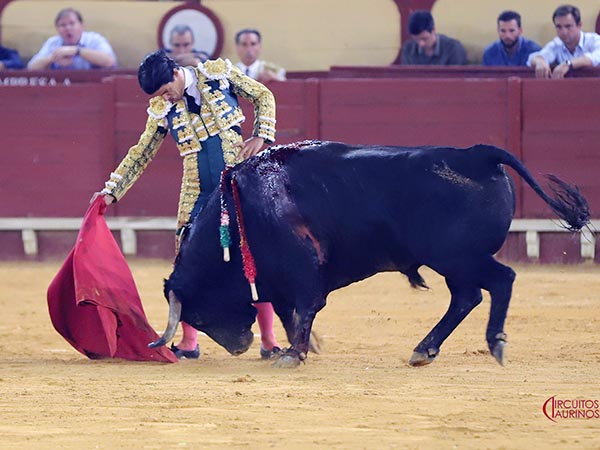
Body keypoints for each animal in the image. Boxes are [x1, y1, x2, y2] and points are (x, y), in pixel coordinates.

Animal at [150, 141, 592, 366]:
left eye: (197, 314)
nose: (238, 346)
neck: (242, 207)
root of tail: (476, 154)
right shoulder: (280, 279)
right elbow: (287, 312)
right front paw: (301, 348)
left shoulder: (302, 267)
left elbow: (304, 307)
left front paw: (294, 354)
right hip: (455, 262)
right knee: (466, 297)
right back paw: (424, 350)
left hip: (459, 256)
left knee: (501, 281)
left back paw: (494, 343)